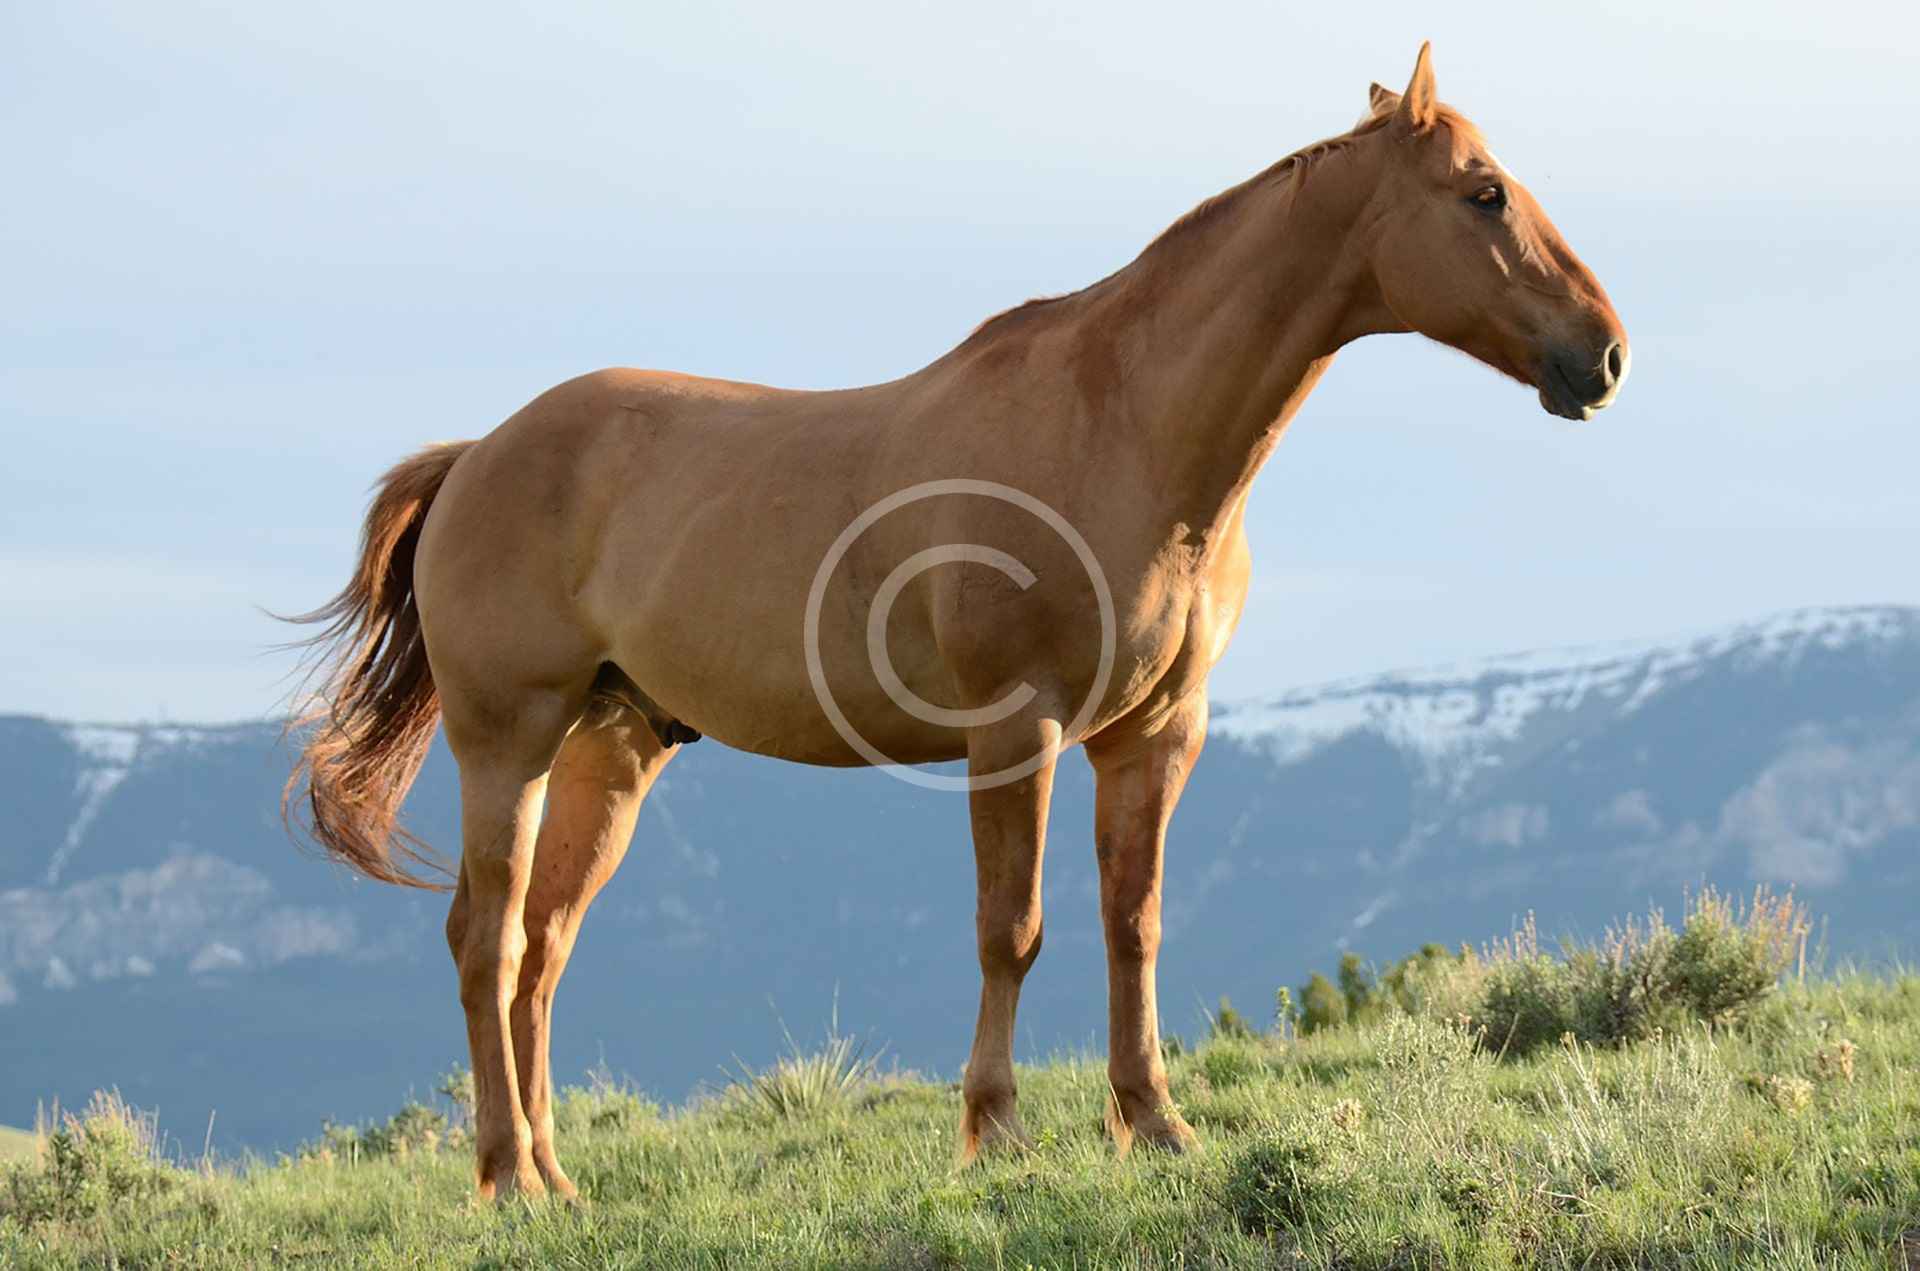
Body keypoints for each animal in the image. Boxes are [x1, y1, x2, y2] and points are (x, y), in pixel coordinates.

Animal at [284, 47, 1628, 1205]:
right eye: (1484, 192)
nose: (1604, 354)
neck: (1124, 428)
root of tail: (477, 455)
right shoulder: (1013, 731)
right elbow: (1011, 930)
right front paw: (997, 1131)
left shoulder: (1157, 734)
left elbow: (1132, 923)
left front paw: (1155, 1122)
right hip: (506, 739)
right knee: (486, 939)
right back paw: (508, 1178)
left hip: (609, 749)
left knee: (543, 948)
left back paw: (558, 1177)